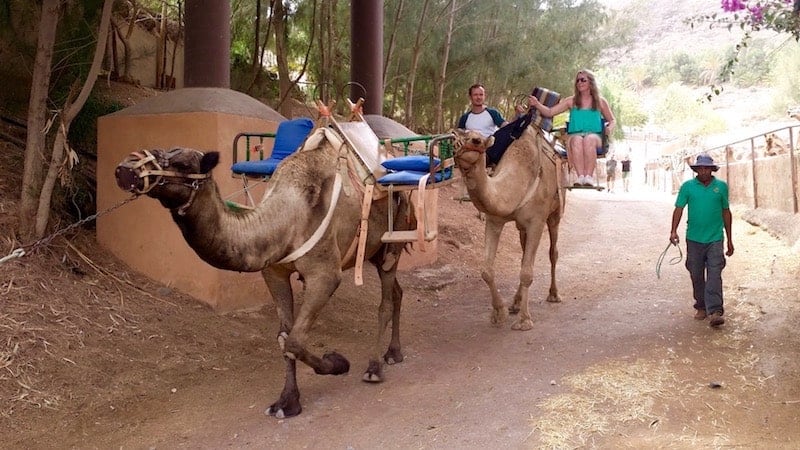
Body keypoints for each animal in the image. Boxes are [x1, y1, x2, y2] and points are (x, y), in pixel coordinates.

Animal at [114, 128, 412, 420]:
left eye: (183, 164)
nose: (125, 168)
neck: (287, 216)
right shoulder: (274, 272)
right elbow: (284, 337)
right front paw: (287, 403)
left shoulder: (325, 273)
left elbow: (294, 341)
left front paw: (337, 362)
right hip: (374, 251)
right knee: (397, 291)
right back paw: (394, 353)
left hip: (393, 240)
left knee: (385, 302)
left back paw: (374, 367)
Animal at [454, 126, 564, 330]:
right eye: (457, 135)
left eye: (476, 140)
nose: (452, 134)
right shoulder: (494, 220)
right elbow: (487, 271)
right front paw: (499, 312)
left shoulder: (536, 221)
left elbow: (527, 272)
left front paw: (524, 320)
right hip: (521, 228)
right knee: (524, 255)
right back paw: (515, 303)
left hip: (555, 214)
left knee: (553, 252)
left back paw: (553, 295)